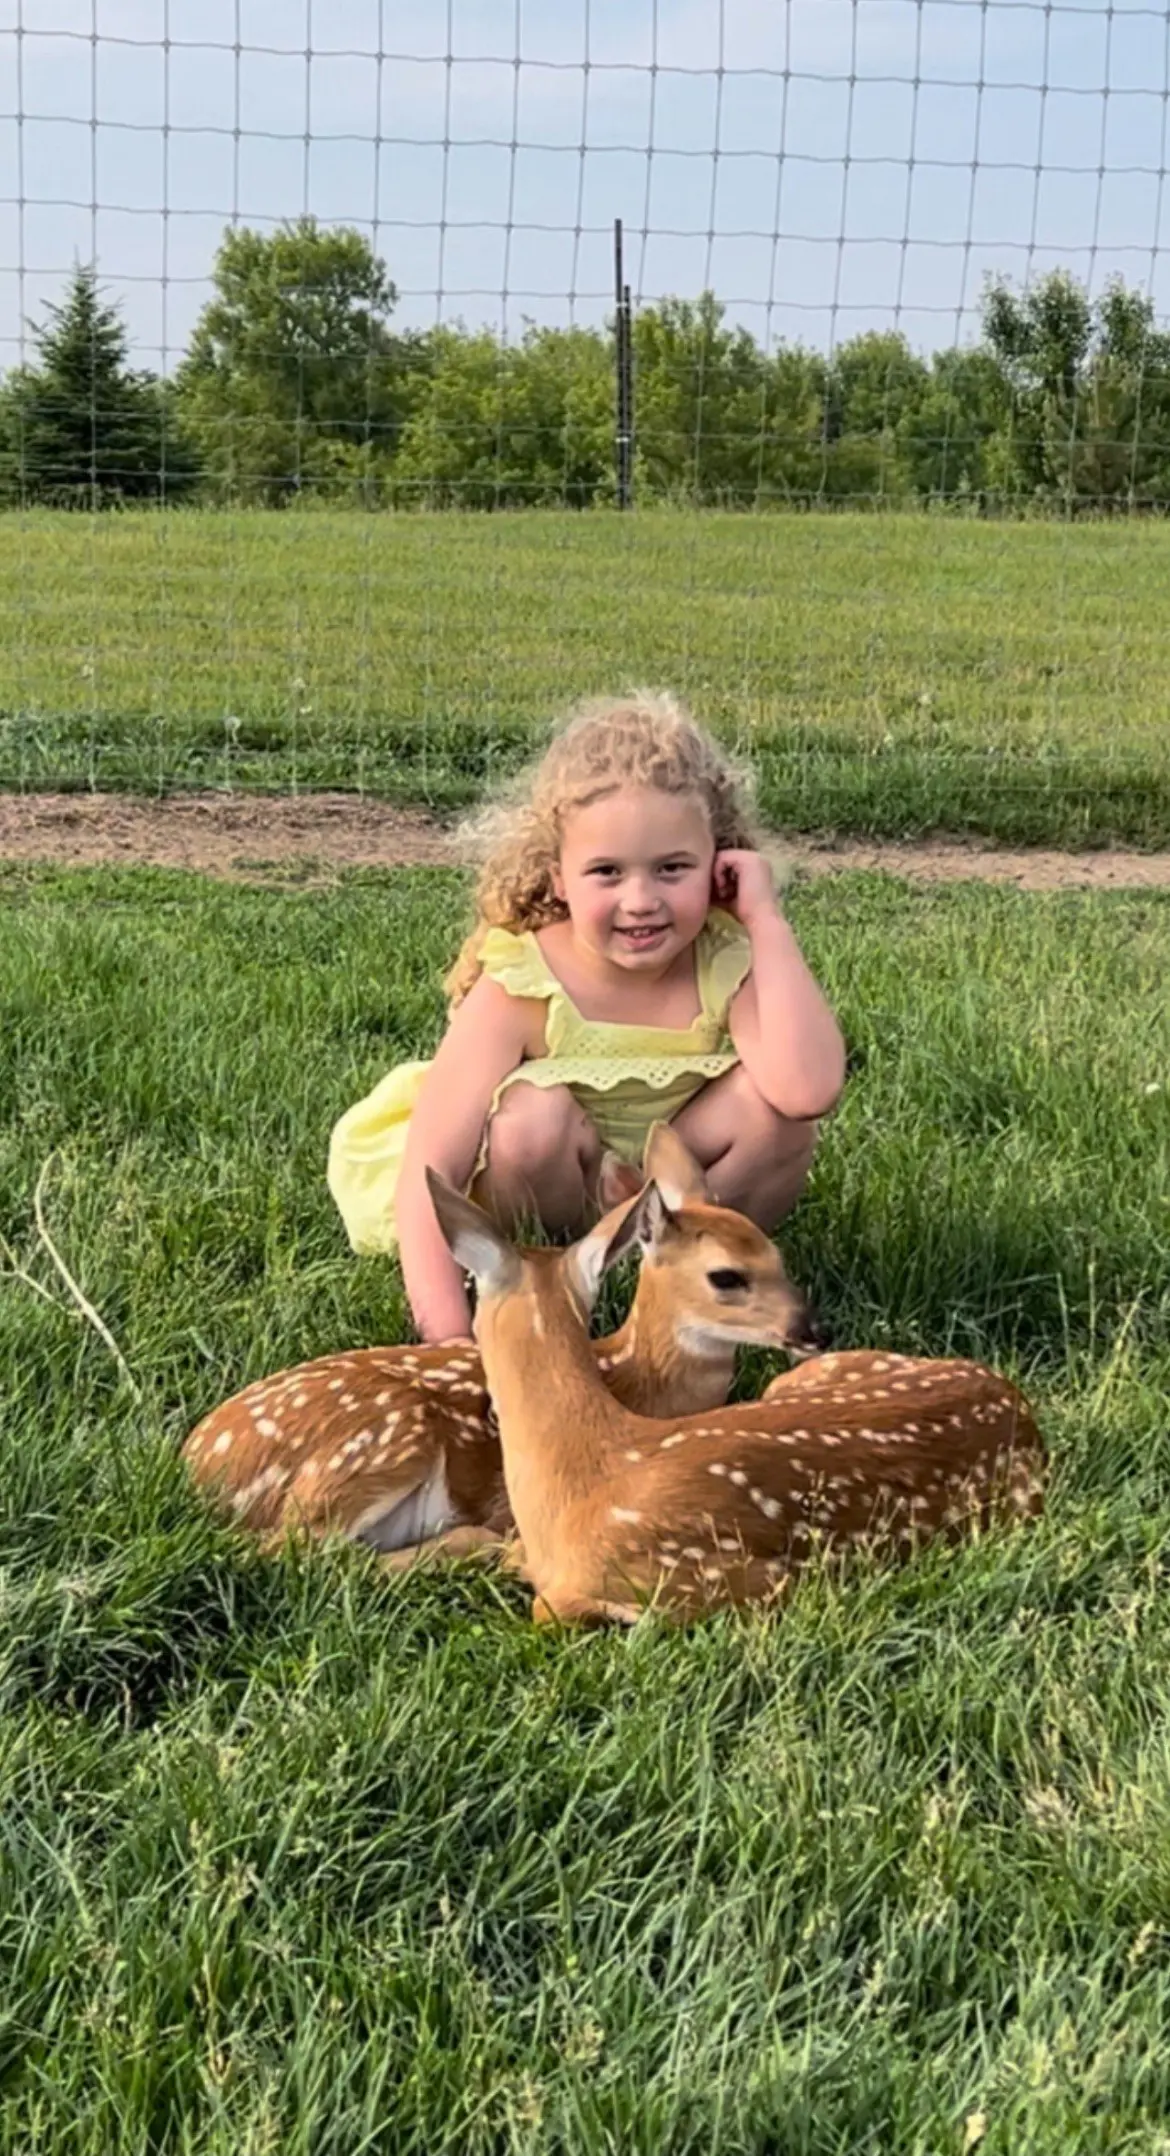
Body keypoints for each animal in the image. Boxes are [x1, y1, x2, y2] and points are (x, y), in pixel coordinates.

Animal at [182, 1124, 823, 1569]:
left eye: (777, 1255)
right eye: (726, 1277)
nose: (813, 1329)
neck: (632, 1382)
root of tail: (196, 1467)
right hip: (388, 1432)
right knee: (295, 1550)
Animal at [425, 1147, 1047, 1626]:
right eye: (729, 1274)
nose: (815, 1327)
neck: (583, 1472)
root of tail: (1016, 1402)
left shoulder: (733, 1578)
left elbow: (547, 1606)